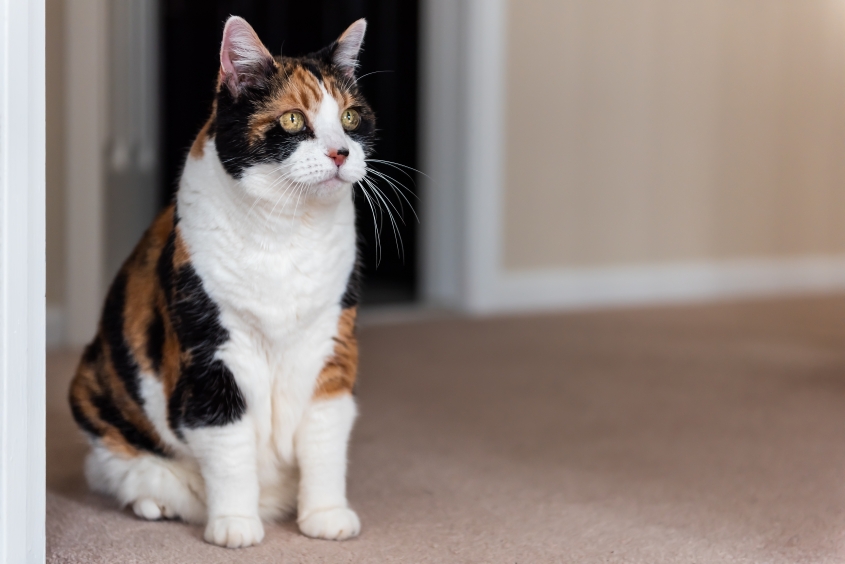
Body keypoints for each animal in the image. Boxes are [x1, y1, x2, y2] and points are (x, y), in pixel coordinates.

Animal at [71, 16, 374, 548]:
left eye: (352, 117)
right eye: (293, 120)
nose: (341, 152)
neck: (285, 232)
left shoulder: (333, 343)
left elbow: (325, 433)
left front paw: (325, 514)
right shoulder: (210, 352)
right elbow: (228, 443)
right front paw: (235, 524)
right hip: (95, 390)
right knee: (114, 468)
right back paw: (156, 501)